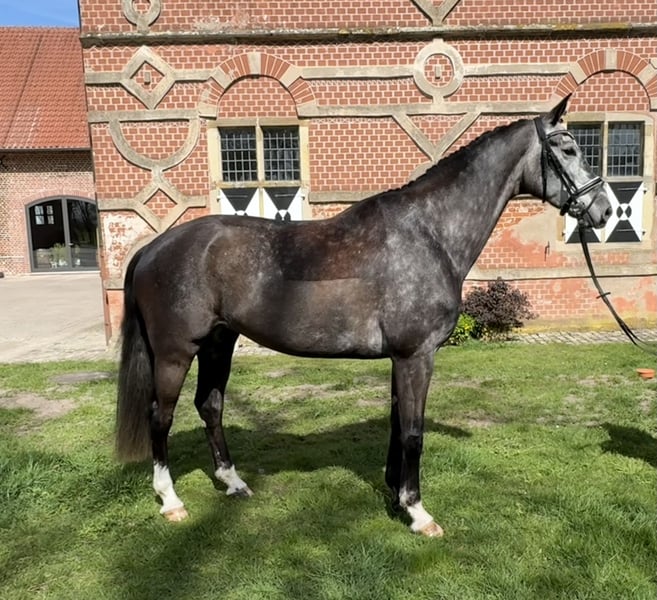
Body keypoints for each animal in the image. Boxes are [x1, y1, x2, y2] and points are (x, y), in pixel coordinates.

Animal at [116, 95, 611, 536]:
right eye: (568, 149)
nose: (604, 210)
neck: (429, 233)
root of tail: (154, 247)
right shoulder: (417, 356)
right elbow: (412, 432)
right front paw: (418, 513)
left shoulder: (400, 358)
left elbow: (396, 425)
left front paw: (395, 494)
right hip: (176, 353)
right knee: (161, 415)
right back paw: (171, 501)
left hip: (219, 343)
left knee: (211, 406)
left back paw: (233, 482)